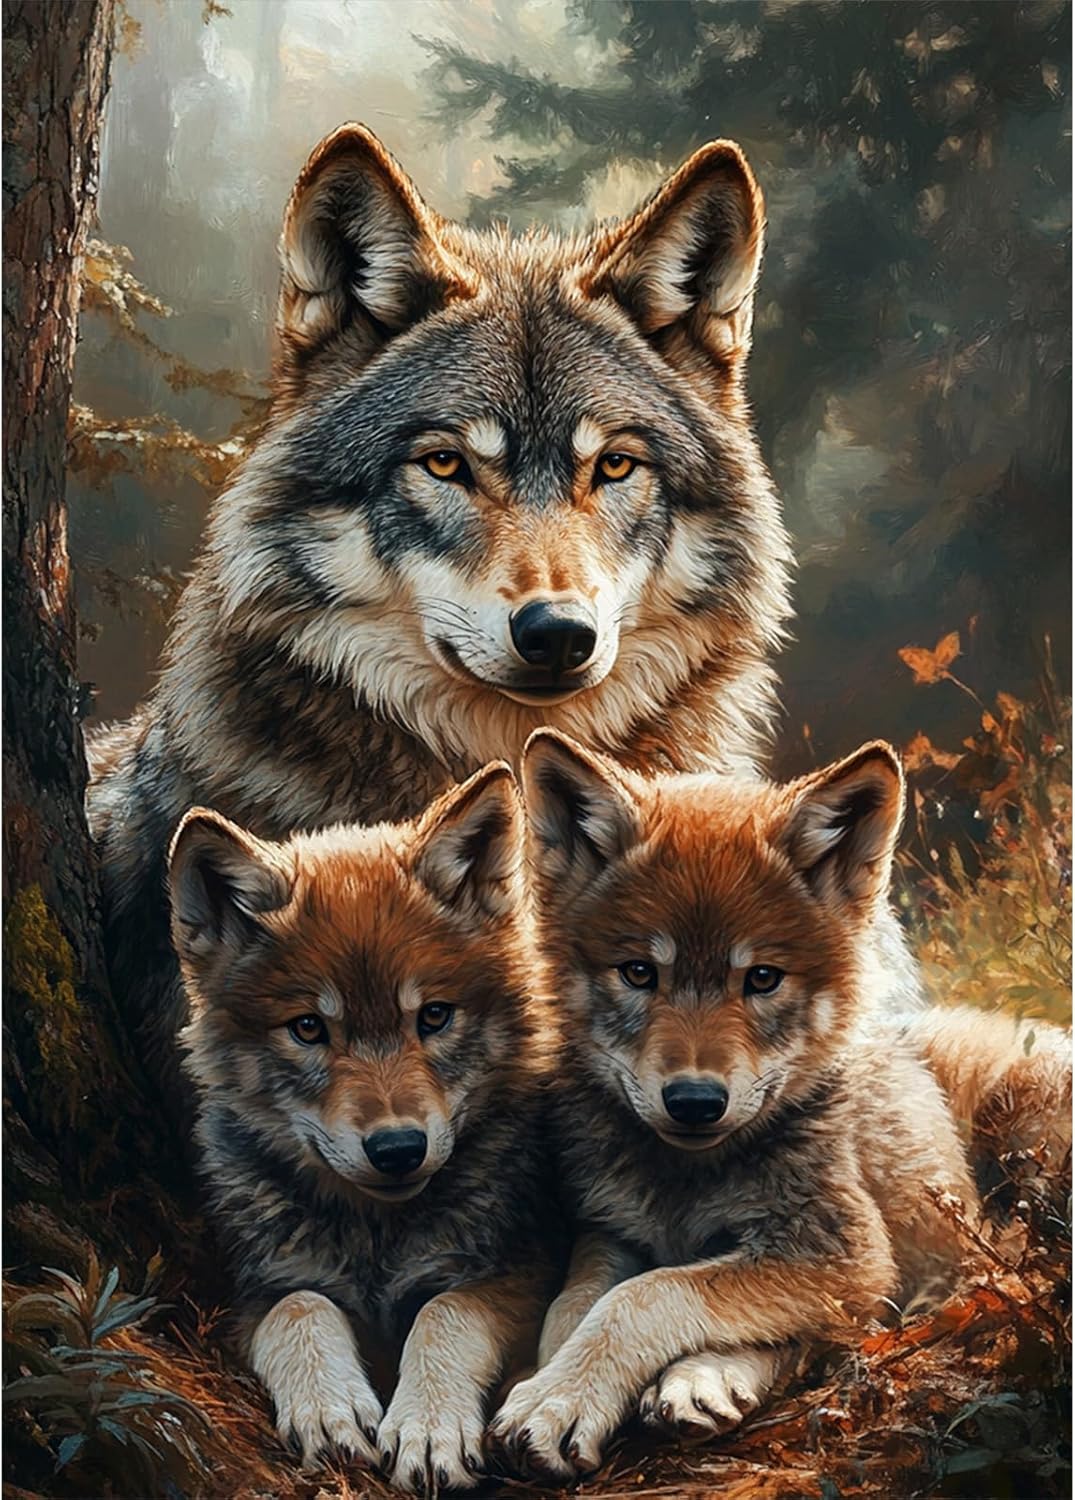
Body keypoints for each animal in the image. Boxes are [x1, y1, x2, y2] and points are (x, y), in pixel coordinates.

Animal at [167, 763, 563, 1494]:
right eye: (308, 1028)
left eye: (433, 1016)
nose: (398, 1149)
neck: (375, 1236)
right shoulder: (253, 1294)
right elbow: (303, 1308)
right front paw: (329, 1411)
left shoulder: (517, 1269)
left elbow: (442, 1315)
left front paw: (428, 1428)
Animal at [489, 730, 1070, 1479]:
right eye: (639, 972)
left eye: (761, 978)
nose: (695, 1101)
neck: (687, 1184)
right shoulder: (612, 1233)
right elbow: (576, 1305)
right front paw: (546, 1385)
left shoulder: (844, 1256)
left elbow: (650, 1294)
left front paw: (571, 1399)